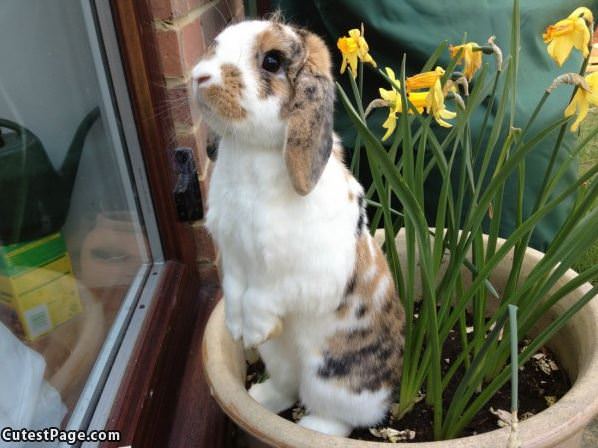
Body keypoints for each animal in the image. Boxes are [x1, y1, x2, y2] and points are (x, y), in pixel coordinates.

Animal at [195, 19, 406, 436]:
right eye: (217, 44)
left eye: (272, 61)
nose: (199, 76)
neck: (252, 151)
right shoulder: (234, 257)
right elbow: (235, 291)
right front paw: (236, 329)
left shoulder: (300, 275)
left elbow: (262, 297)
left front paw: (253, 330)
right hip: (279, 358)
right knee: (286, 386)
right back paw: (259, 397)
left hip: (330, 379)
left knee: (341, 417)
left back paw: (314, 428)